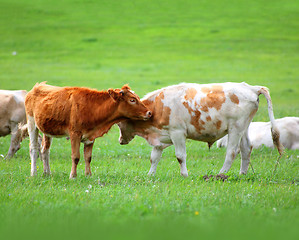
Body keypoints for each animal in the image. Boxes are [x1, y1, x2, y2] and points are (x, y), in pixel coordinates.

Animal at [118, 82, 284, 176]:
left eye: (119, 124)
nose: (120, 140)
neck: (157, 107)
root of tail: (251, 88)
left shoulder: (177, 133)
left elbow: (180, 156)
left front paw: (184, 175)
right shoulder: (162, 137)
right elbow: (154, 157)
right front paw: (150, 175)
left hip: (235, 129)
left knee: (232, 152)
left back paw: (221, 174)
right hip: (244, 128)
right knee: (246, 148)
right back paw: (242, 174)